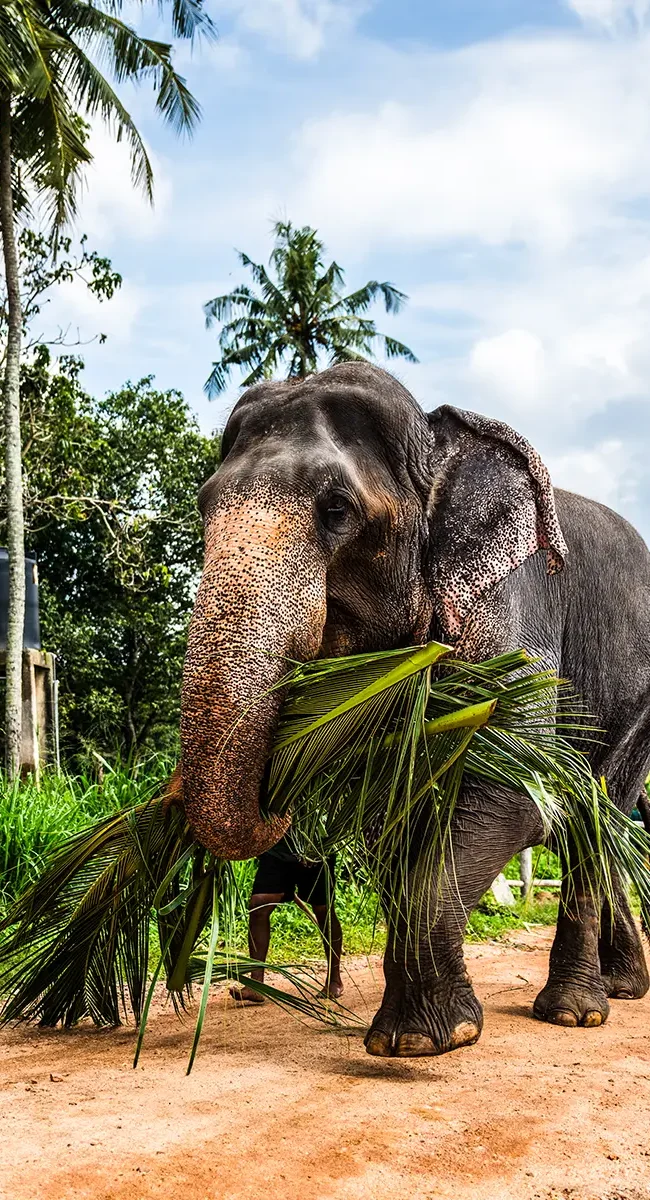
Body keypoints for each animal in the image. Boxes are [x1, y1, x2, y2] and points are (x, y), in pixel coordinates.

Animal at [180, 361, 650, 1058]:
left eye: (337, 510)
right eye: (204, 506)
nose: (280, 804)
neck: (434, 442)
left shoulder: (513, 603)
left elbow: (514, 791)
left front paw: (419, 1042)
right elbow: (394, 811)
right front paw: (422, 1033)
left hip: (637, 701)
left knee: (593, 810)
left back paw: (573, 1013)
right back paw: (619, 990)